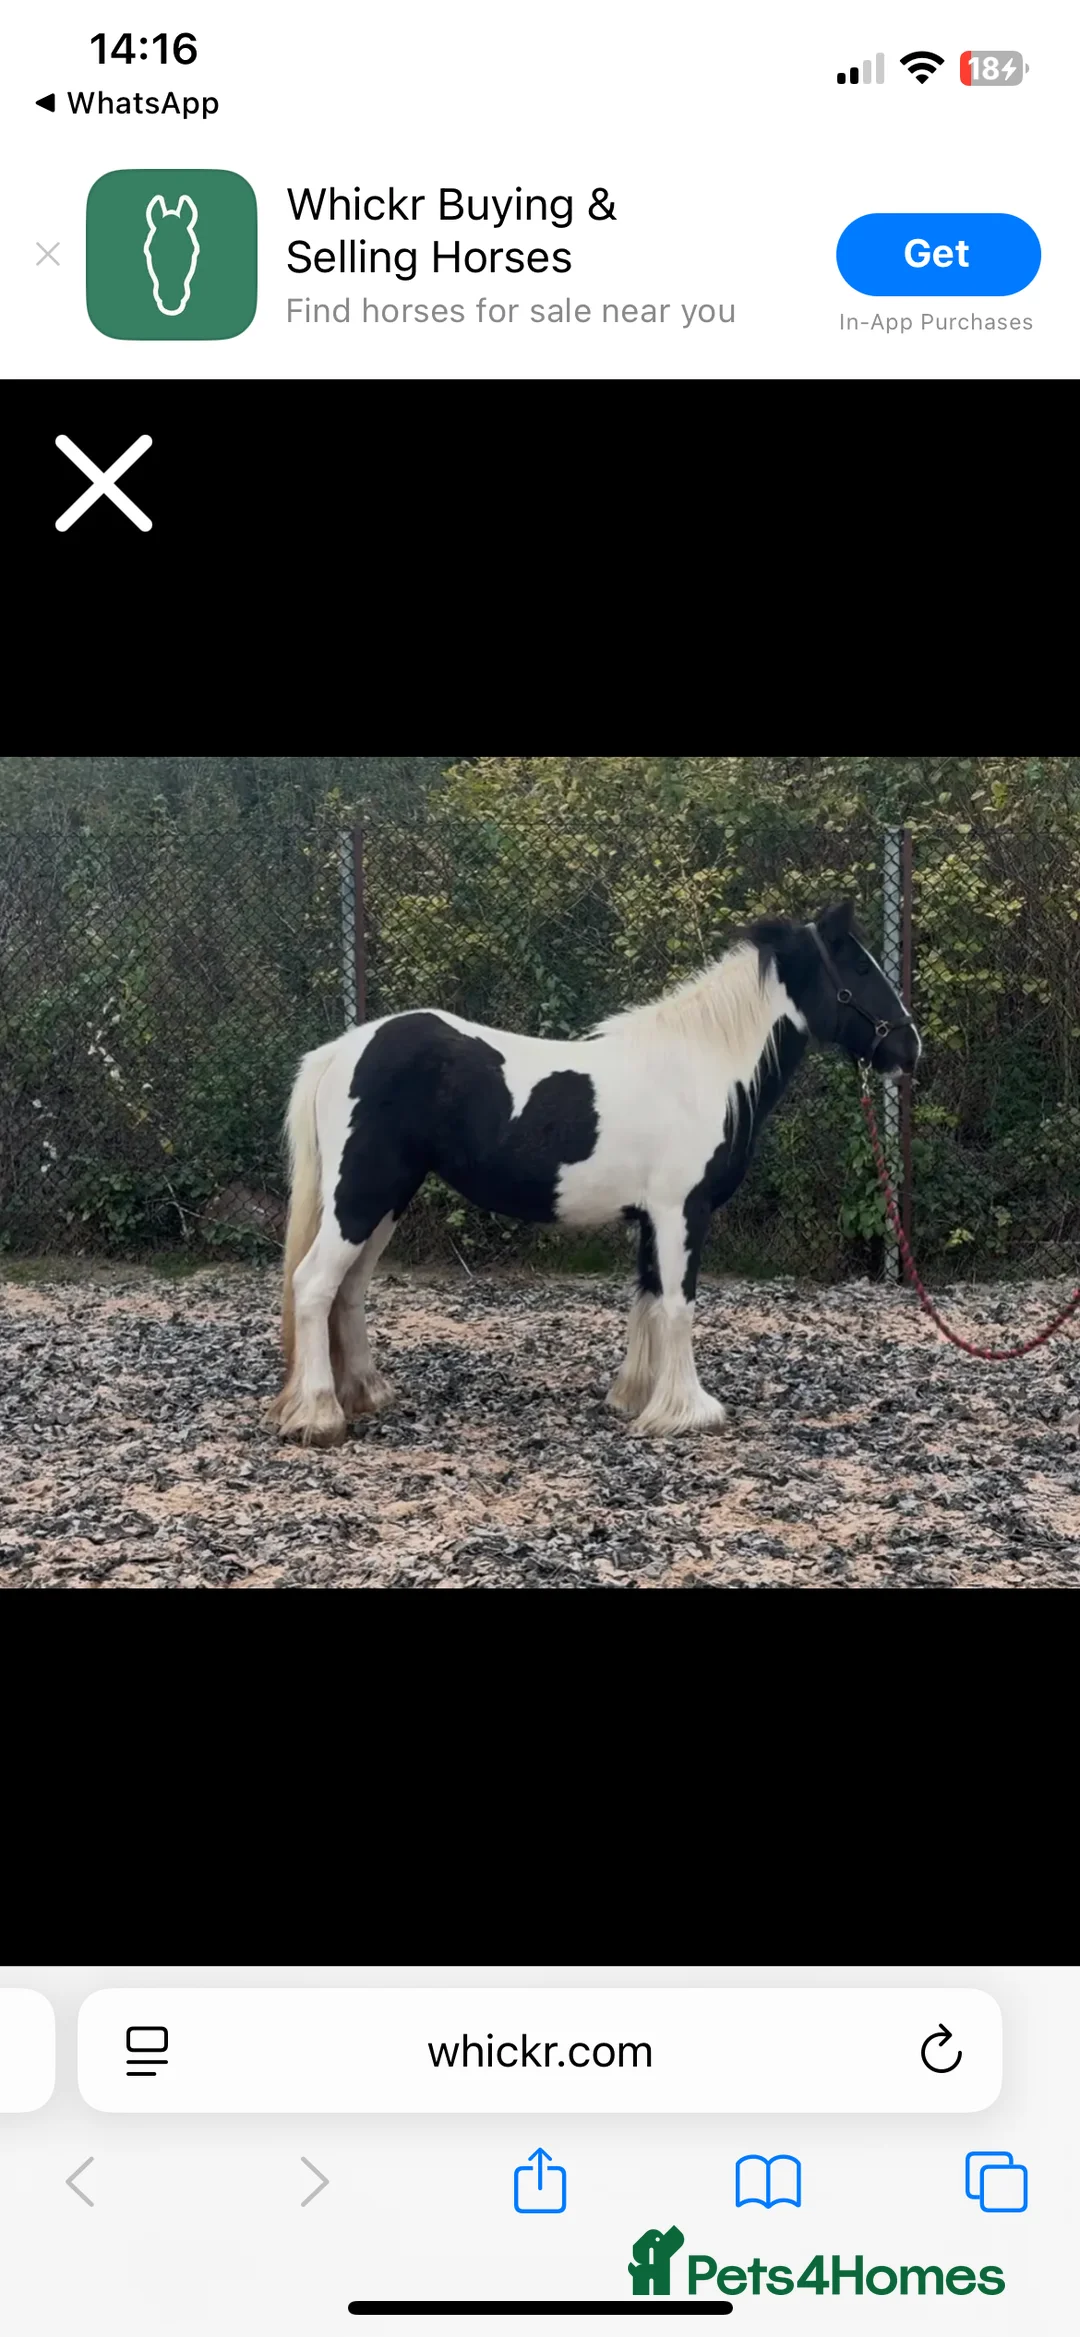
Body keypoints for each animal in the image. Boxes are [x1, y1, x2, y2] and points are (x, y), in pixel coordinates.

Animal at [269, 899, 920, 1446]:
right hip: (361, 1196)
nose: (909, 1049)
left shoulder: (653, 1218)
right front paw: (690, 1411)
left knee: (349, 1289)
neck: (700, 1069)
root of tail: (342, 1050)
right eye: (860, 972)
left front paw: (637, 1398)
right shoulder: (682, 1212)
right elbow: (679, 1305)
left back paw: (366, 1394)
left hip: (385, 1200)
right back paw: (321, 1417)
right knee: (315, 1284)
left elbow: (649, 1299)